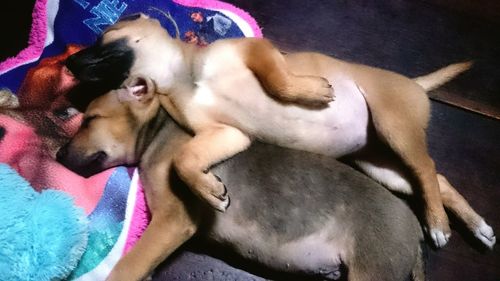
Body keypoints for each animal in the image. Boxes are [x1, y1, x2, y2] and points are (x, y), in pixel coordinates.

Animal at [64, 14, 494, 248]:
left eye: (101, 40)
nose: (68, 65)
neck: (183, 77)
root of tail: (416, 85)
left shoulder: (258, 52)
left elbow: (278, 80)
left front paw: (312, 91)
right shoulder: (227, 133)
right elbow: (187, 158)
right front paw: (209, 189)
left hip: (393, 125)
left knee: (427, 168)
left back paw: (438, 224)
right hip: (380, 165)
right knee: (432, 180)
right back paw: (476, 226)